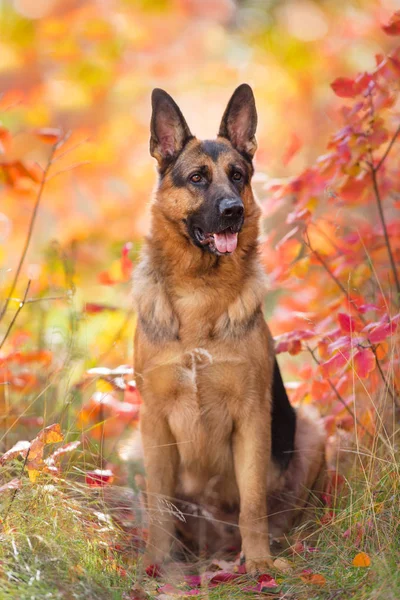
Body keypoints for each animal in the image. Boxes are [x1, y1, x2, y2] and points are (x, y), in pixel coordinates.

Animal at [133, 83, 326, 572]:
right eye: (198, 178)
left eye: (238, 175)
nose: (234, 211)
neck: (200, 292)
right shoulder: (154, 422)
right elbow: (159, 503)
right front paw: (158, 563)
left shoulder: (253, 418)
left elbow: (253, 503)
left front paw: (258, 563)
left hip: (311, 429)